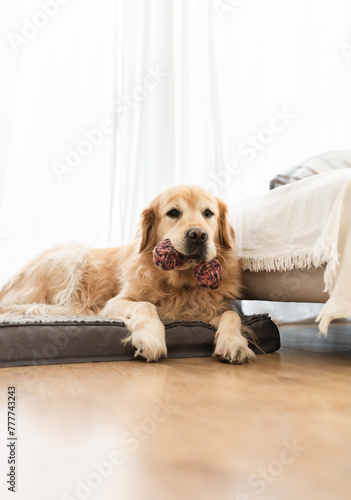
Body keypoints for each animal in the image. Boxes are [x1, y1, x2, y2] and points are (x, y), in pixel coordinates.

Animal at [0, 186, 254, 366]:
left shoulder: (212, 308)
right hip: (72, 257)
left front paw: (233, 342)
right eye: (173, 212)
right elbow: (146, 306)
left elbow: (232, 316)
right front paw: (150, 337)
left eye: (208, 213)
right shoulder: (115, 302)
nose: (198, 235)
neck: (180, 285)